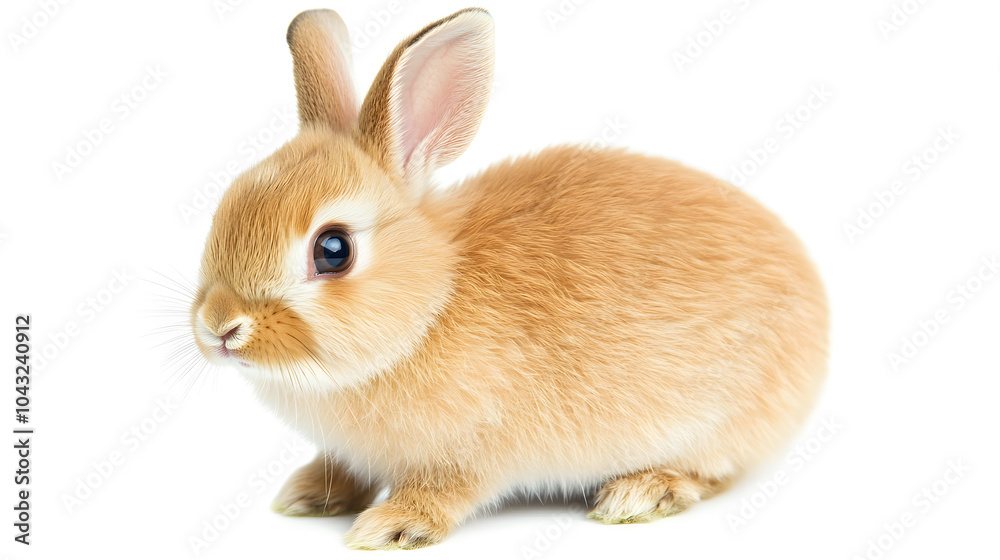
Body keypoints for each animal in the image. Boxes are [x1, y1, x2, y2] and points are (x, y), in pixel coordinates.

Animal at [188, 7, 828, 550]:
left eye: (333, 249)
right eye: (224, 208)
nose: (220, 327)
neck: (431, 305)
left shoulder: (471, 450)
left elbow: (446, 490)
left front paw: (391, 526)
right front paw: (307, 496)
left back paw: (641, 494)